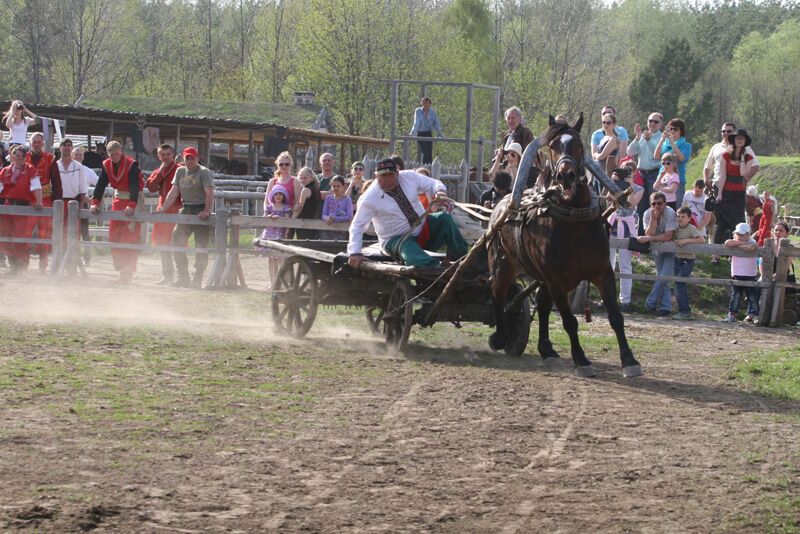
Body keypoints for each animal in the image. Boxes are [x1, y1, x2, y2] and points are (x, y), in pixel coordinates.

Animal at [484, 115, 640, 378]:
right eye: (553, 146)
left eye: (578, 144)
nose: (566, 176)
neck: (574, 223)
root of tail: (499, 208)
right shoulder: (556, 279)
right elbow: (569, 321)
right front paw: (581, 360)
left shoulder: (602, 272)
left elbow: (616, 317)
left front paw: (629, 360)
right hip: (503, 266)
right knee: (497, 294)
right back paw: (501, 336)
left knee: (542, 305)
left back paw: (547, 349)